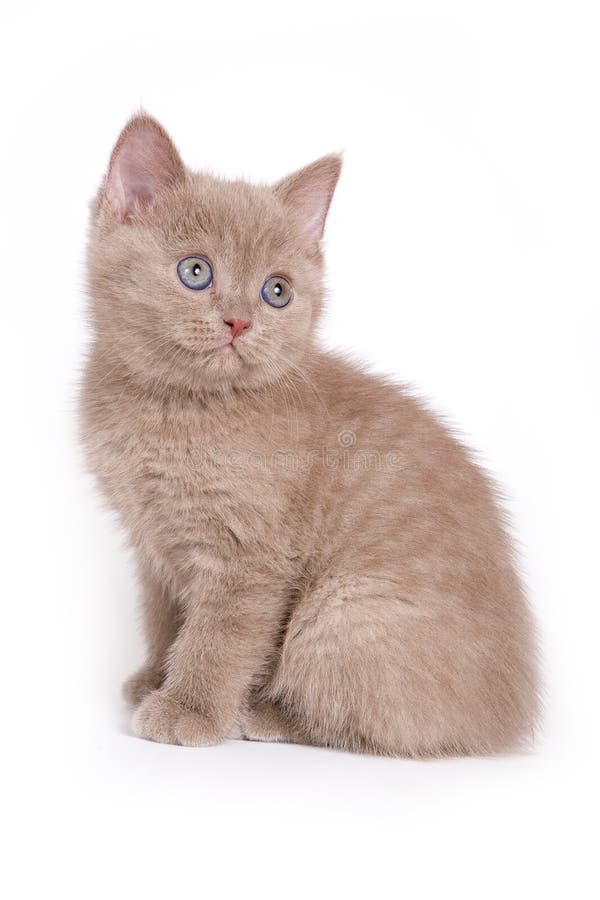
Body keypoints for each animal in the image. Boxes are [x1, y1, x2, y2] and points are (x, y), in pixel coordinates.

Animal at [79, 114, 540, 760]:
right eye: (196, 271)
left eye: (277, 291)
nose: (240, 321)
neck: (176, 408)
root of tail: (510, 718)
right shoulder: (153, 540)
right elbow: (164, 615)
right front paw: (153, 677)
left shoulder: (249, 555)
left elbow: (219, 637)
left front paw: (188, 708)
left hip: (343, 610)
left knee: (377, 721)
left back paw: (266, 714)